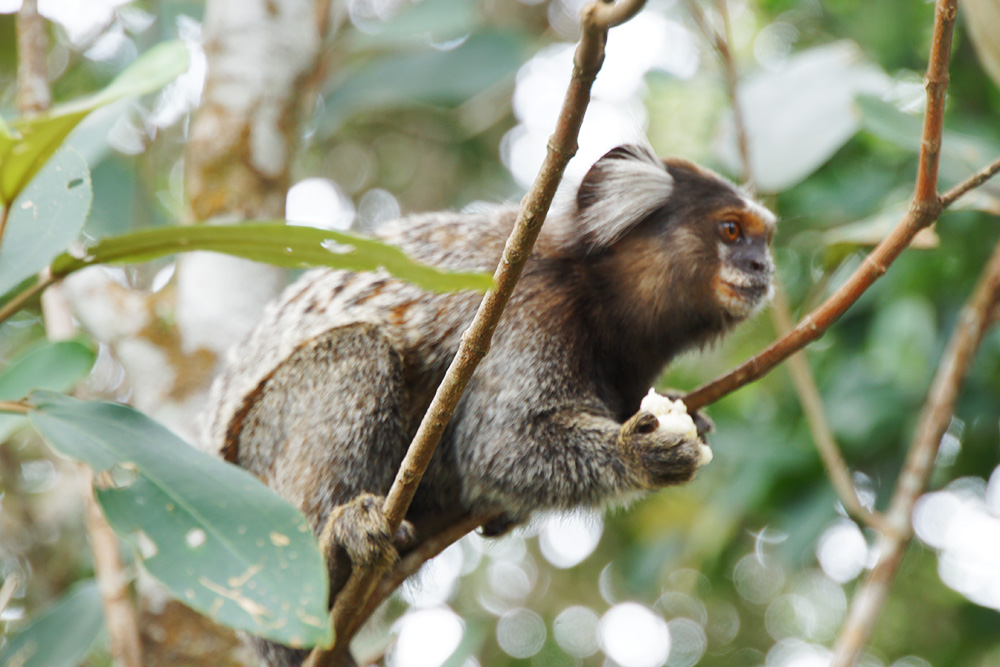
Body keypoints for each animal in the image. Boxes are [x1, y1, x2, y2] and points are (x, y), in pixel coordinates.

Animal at [203, 144, 776, 664]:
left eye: (763, 240)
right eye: (731, 231)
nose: (761, 265)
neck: (601, 291)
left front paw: (683, 410)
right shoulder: (526, 308)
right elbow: (499, 449)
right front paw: (639, 452)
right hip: (257, 466)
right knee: (361, 353)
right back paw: (331, 560)